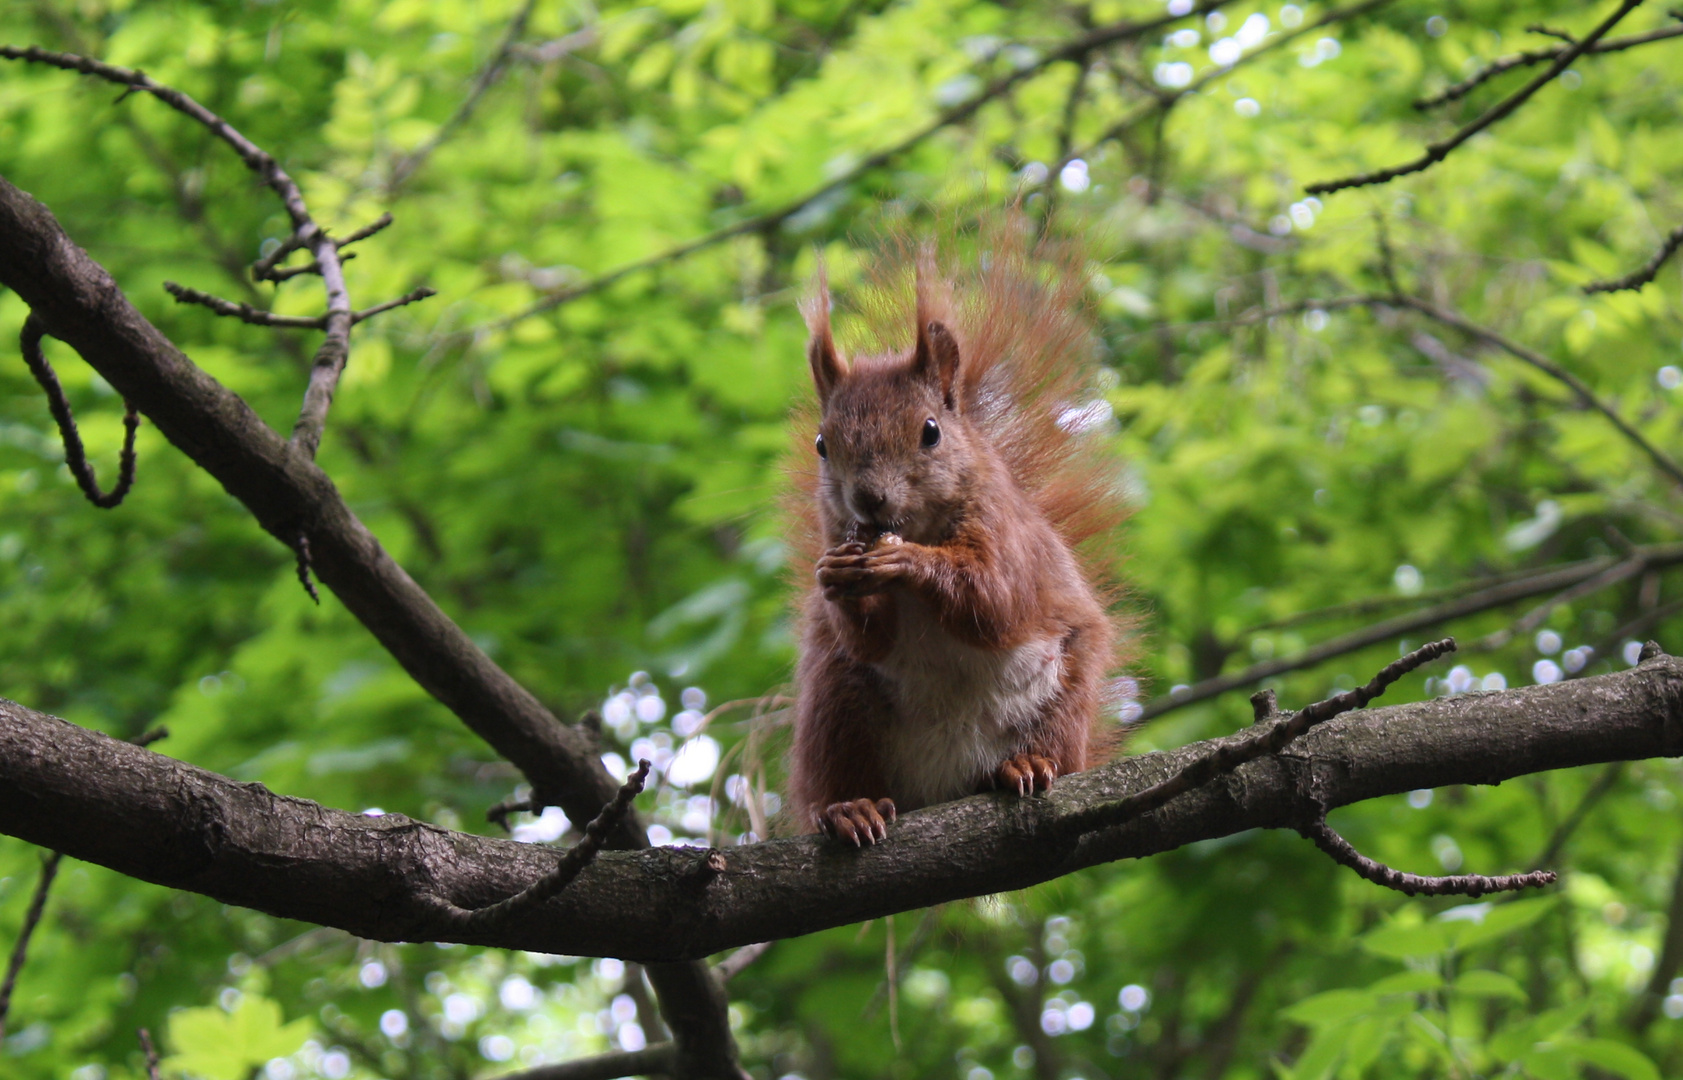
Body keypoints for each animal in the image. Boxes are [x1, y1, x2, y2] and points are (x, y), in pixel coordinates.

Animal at [780, 233, 1124, 841]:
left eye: (931, 432)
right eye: (822, 445)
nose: (868, 499)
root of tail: (945, 784)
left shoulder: (1008, 536)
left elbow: (996, 601)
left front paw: (909, 563)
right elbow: (869, 637)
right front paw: (835, 576)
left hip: (1066, 689)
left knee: (1056, 743)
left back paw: (1028, 764)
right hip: (836, 703)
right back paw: (851, 808)